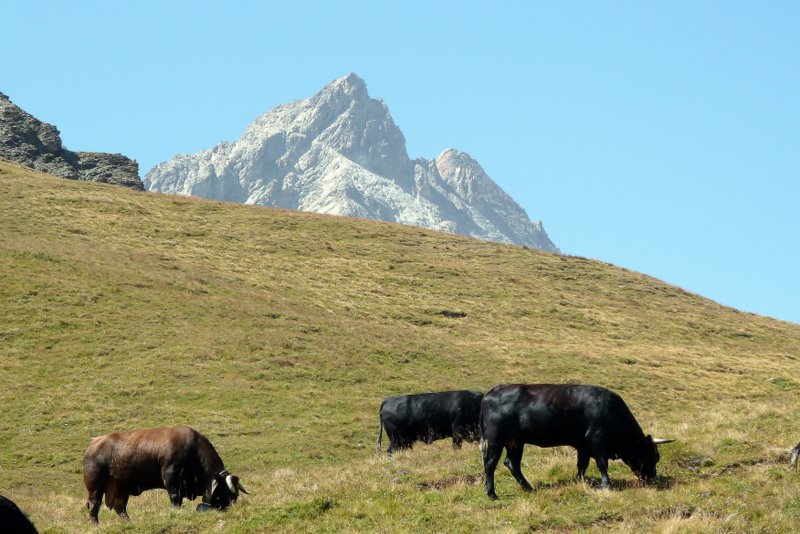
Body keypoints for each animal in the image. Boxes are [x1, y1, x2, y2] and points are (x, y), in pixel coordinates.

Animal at [83, 425, 249, 523]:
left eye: (235, 496)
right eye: (225, 492)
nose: (229, 510)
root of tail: (94, 442)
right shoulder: (171, 476)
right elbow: (175, 497)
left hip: (121, 488)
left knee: (120, 507)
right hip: (95, 487)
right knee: (94, 504)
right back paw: (95, 524)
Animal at [480, 384, 674, 500]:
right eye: (652, 456)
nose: (652, 478)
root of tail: (495, 389)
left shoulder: (583, 446)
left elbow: (582, 465)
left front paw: (580, 481)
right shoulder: (597, 440)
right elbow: (602, 464)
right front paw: (606, 485)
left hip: (515, 442)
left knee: (512, 464)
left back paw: (529, 488)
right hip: (496, 441)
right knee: (490, 464)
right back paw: (492, 494)